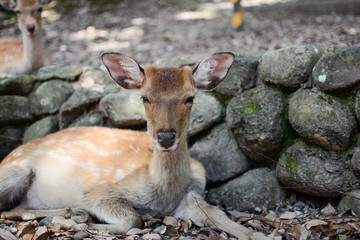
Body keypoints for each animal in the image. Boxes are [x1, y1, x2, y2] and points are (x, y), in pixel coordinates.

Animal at [0, 53, 270, 240]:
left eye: (190, 97)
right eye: (145, 97)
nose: (165, 136)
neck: (164, 194)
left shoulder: (193, 194)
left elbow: (221, 216)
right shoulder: (100, 193)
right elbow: (132, 220)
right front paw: (77, 220)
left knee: (18, 207)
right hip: (14, 171)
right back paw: (71, 214)